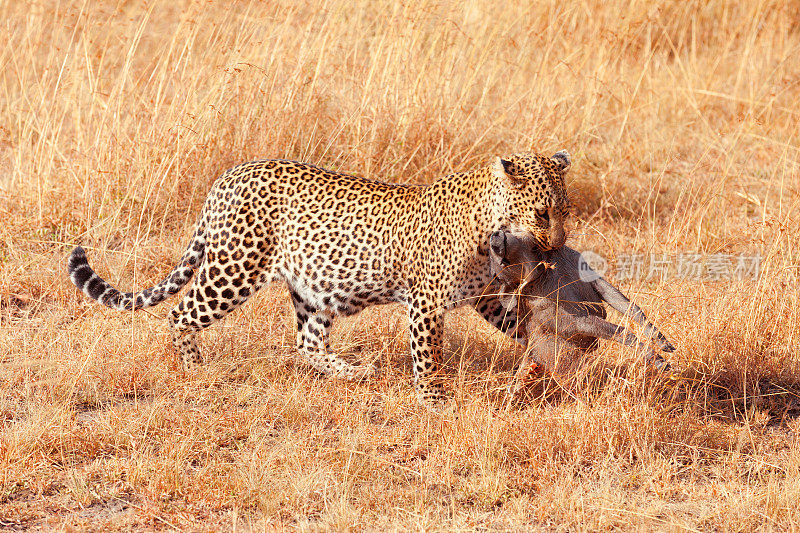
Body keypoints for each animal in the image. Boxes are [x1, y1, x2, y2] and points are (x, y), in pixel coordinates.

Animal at [67, 150, 568, 408]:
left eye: (566, 210)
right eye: (543, 213)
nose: (559, 246)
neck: (493, 226)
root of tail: (228, 176)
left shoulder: (485, 293)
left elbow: (518, 322)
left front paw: (550, 356)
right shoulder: (425, 301)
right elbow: (428, 356)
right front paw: (434, 400)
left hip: (315, 287)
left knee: (307, 342)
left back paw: (353, 371)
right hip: (235, 267)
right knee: (181, 314)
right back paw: (195, 371)